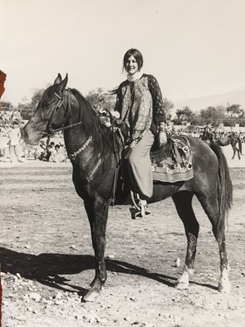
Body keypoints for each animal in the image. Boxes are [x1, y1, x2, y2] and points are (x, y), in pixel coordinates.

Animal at [22, 74, 233, 302]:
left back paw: (223, 282)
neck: (96, 152)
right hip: (182, 197)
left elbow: (99, 239)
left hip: (207, 196)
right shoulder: (88, 203)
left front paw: (96, 286)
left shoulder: (100, 202)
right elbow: (94, 239)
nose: (25, 132)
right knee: (192, 228)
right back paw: (183, 280)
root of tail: (207, 145)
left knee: (219, 230)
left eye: (52, 102)